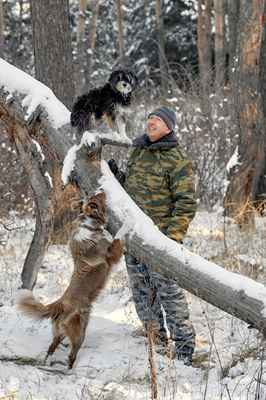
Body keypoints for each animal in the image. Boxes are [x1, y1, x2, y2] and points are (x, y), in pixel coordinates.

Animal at [17, 192, 123, 370]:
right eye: (95, 200)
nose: (102, 190)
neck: (89, 225)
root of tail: (59, 303)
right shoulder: (108, 255)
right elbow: (117, 241)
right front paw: (126, 229)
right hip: (79, 331)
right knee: (71, 355)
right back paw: (70, 369)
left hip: (59, 333)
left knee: (51, 347)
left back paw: (47, 362)